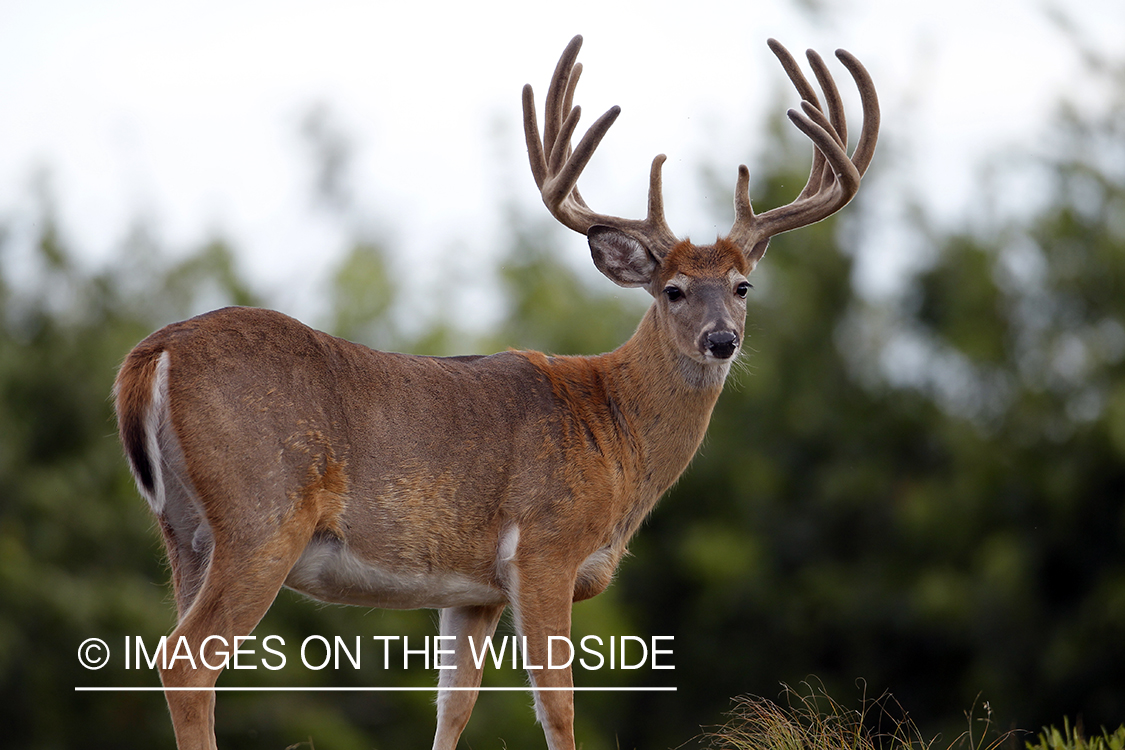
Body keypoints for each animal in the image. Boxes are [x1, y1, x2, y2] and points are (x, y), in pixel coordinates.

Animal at [111, 33, 877, 750]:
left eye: (743, 286)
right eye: (674, 290)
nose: (722, 340)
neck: (613, 425)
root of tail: (153, 352)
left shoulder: (471, 588)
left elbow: (454, 705)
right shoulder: (544, 546)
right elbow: (558, 706)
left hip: (183, 530)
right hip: (262, 513)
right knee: (186, 661)